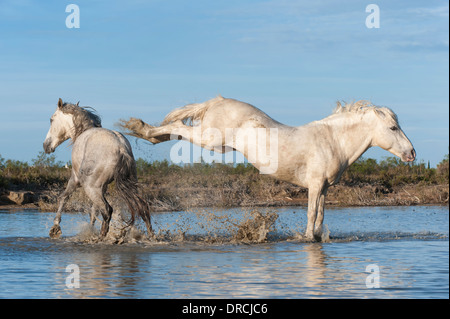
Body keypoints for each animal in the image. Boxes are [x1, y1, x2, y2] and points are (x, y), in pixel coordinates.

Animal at [44, 99, 153, 239]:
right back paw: (151, 235)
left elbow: (64, 197)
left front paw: (55, 228)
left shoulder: (75, 179)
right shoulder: (103, 187)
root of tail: (121, 148)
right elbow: (93, 211)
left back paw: (101, 237)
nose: (46, 146)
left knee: (107, 210)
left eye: (51, 119)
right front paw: (90, 229)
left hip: (90, 187)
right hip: (129, 184)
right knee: (142, 207)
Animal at [119, 96, 414, 241]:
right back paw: (140, 127)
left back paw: (144, 133)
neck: (332, 140)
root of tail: (218, 100)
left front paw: (318, 237)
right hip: (209, 139)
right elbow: (310, 216)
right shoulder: (314, 185)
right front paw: (307, 239)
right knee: (177, 127)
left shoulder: (325, 188)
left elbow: (320, 216)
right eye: (393, 128)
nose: (411, 153)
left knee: (174, 131)